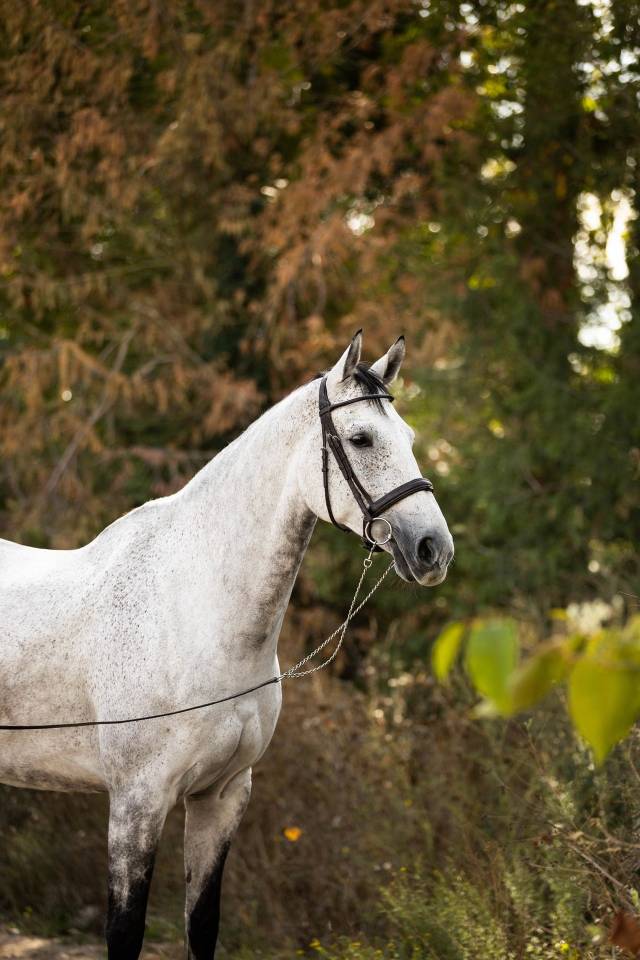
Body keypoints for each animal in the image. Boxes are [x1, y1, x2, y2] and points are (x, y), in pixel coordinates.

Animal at [0, 331, 454, 959]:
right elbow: (124, 933)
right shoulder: (137, 803)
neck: (193, 613)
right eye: (361, 437)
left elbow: (203, 926)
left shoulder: (221, 797)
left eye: (408, 437)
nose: (434, 548)